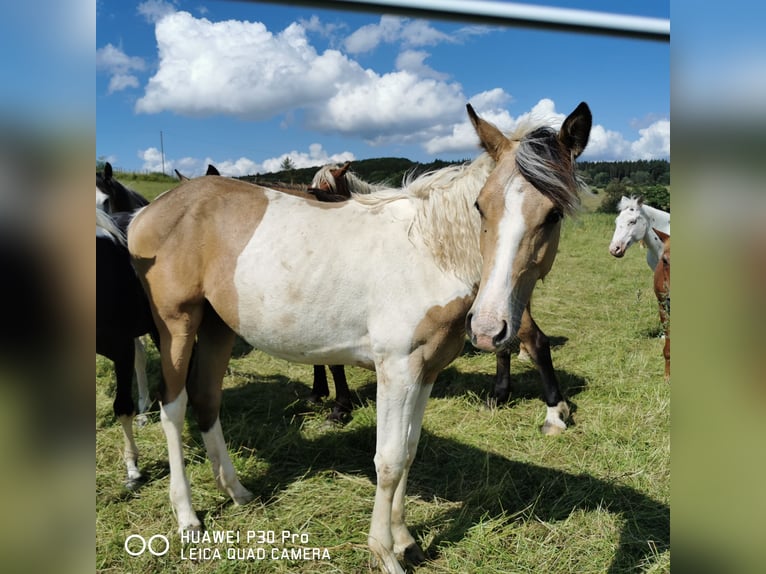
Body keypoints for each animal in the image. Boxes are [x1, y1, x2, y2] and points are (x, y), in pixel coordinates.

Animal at [127, 103, 592, 574]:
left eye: (553, 214)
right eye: (481, 206)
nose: (487, 327)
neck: (429, 252)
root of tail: (148, 211)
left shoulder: (425, 371)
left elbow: (408, 450)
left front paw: (406, 541)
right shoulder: (396, 369)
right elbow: (388, 460)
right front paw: (385, 553)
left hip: (218, 326)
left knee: (207, 398)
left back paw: (237, 492)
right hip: (177, 325)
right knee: (174, 407)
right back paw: (187, 516)